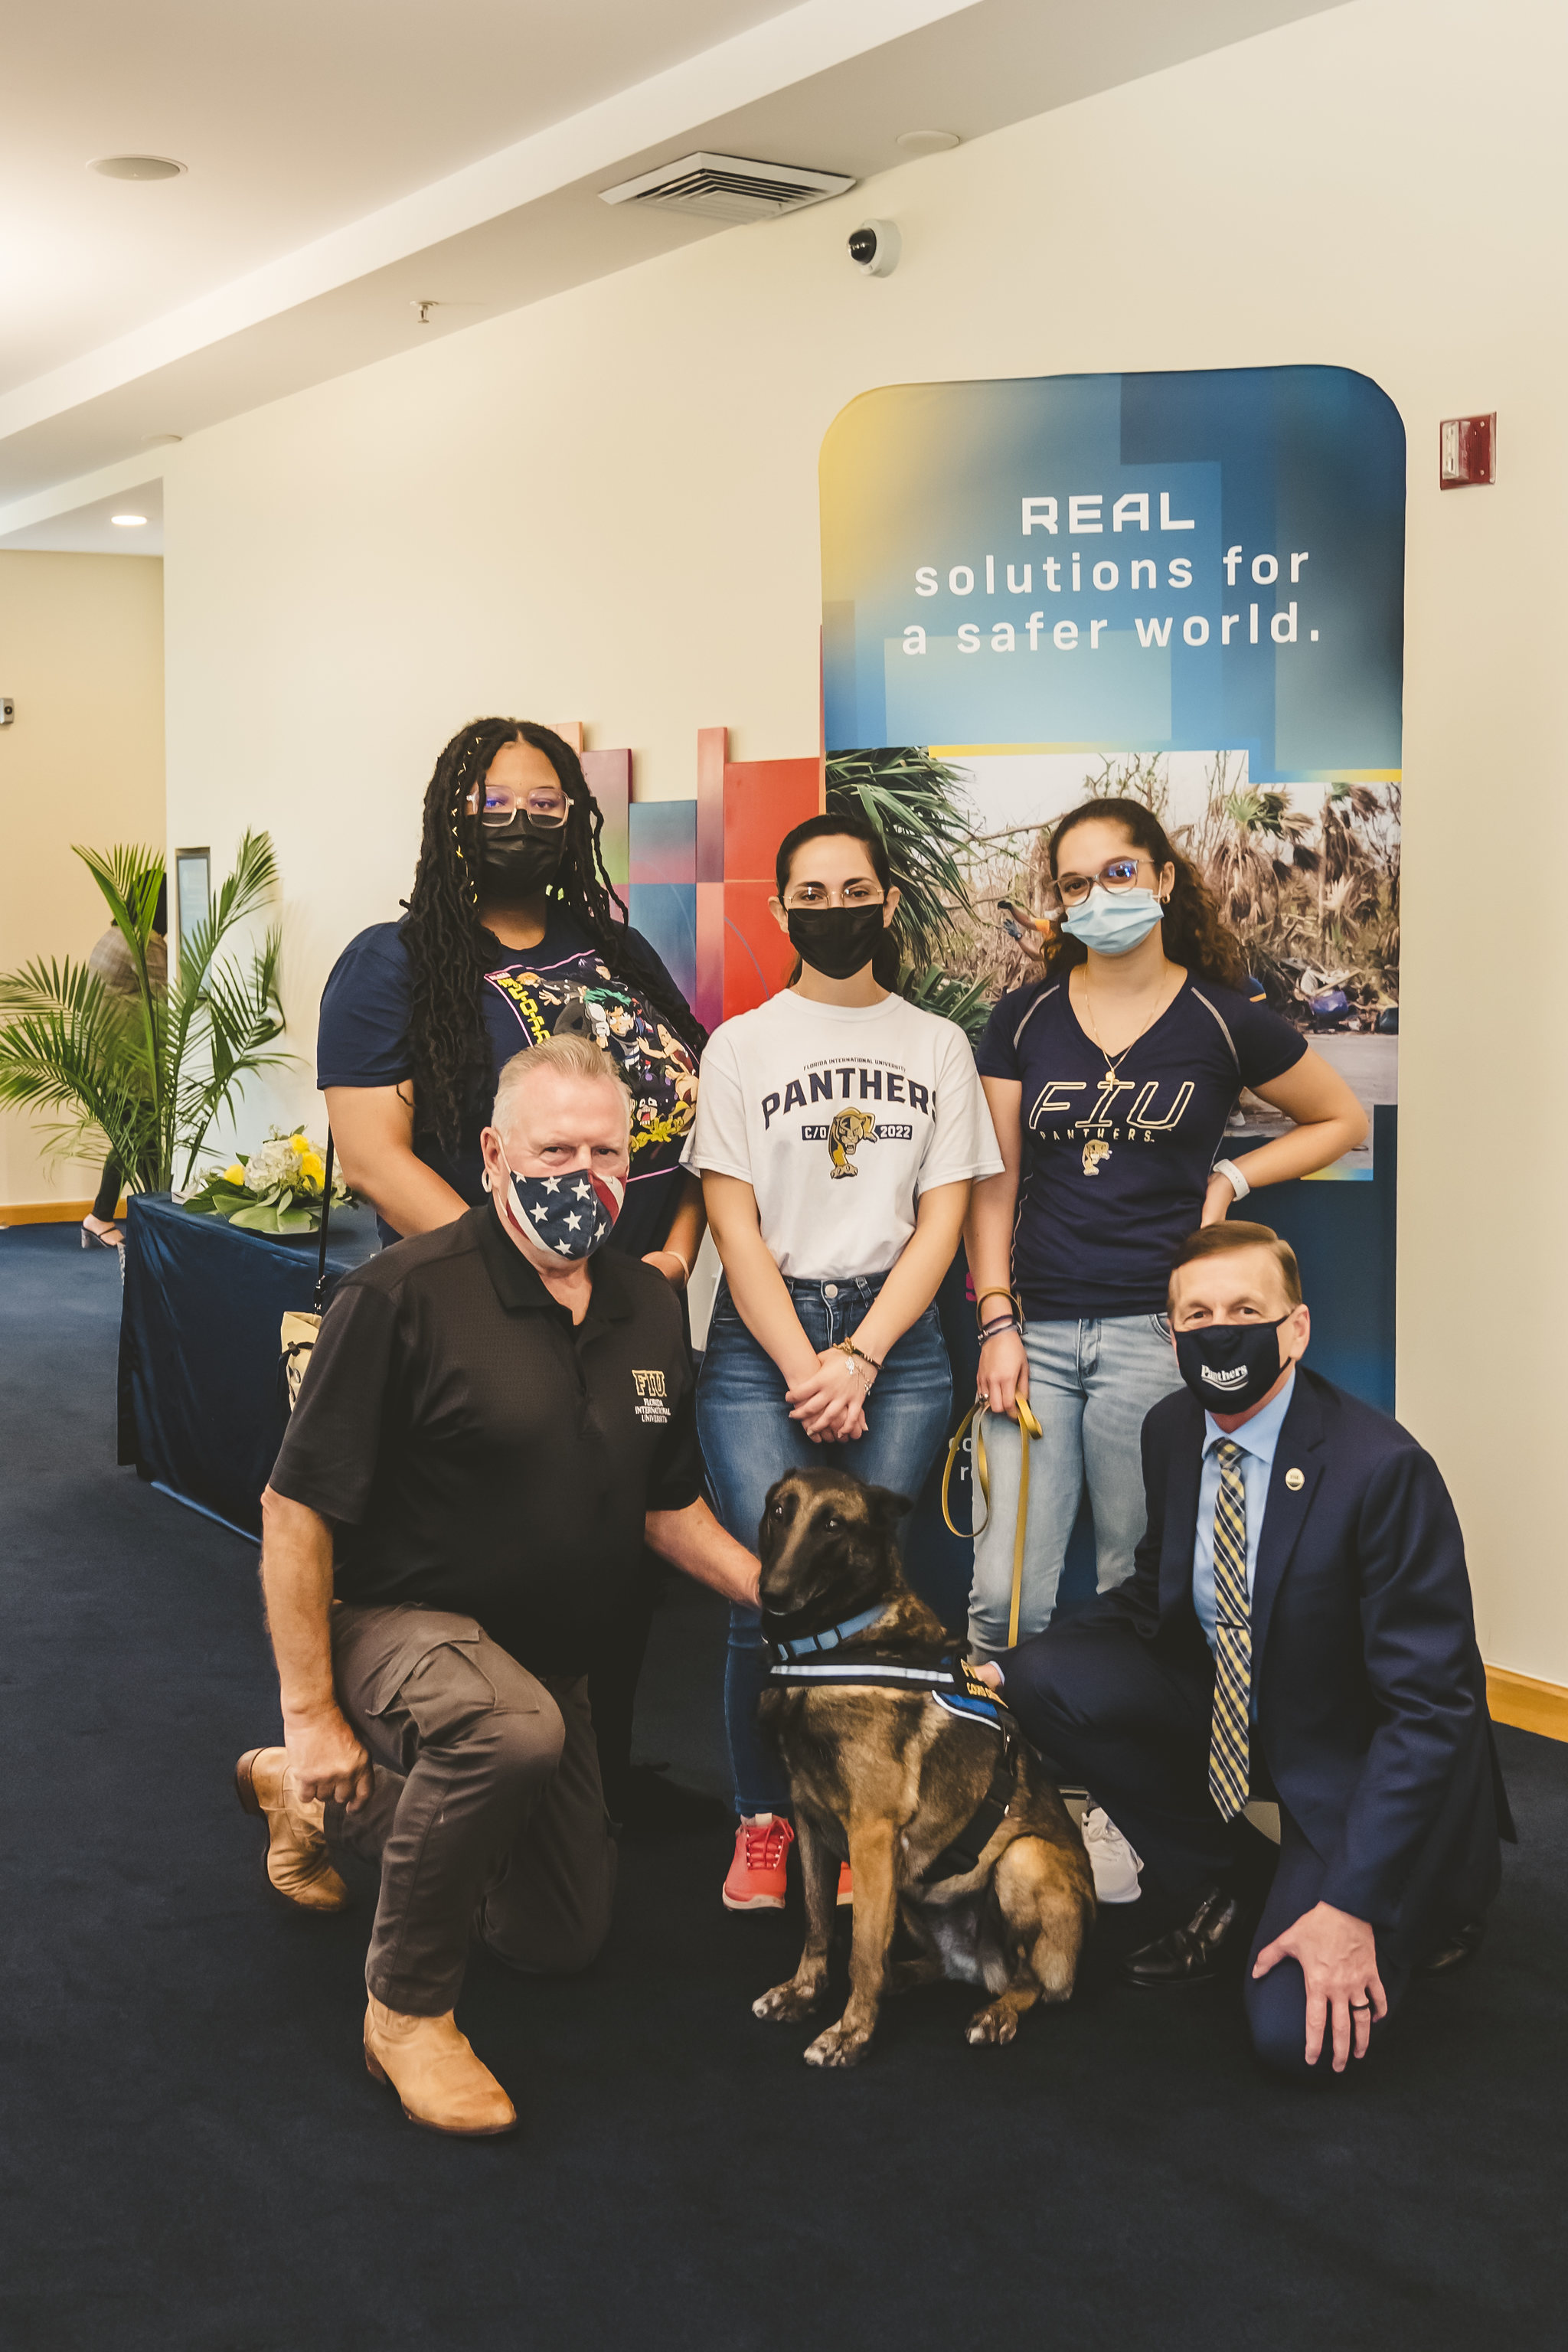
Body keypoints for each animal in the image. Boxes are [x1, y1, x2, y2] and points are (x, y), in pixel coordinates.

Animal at [747, 1458, 1090, 2069]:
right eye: (780, 1511)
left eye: (832, 1524)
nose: (772, 1592)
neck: (834, 1641)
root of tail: (982, 1972)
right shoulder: (809, 1818)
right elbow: (817, 1923)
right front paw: (803, 1993)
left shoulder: (871, 1834)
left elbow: (860, 1948)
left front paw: (852, 2034)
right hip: (910, 1891)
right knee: (929, 1963)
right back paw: (901, 1978)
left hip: (1023, 1861)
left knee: (1034, 1984)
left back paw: (997, 2013)